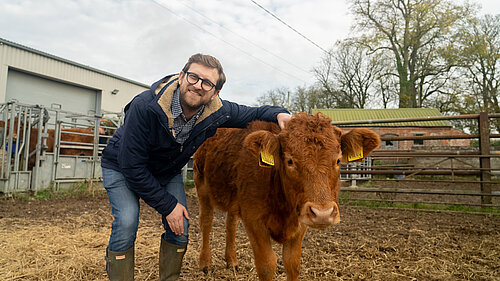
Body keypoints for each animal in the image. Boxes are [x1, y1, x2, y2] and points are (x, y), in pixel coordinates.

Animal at [193, 112, 380, 278]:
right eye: (290, 160)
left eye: (338, 160)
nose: (322, 214)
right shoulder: (254, 220)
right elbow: (267, 265)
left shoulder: (300, 221)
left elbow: (292, 263)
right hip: (201, 186)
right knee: (206, 222)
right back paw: (205, 263)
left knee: (230, 224)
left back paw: (231, 261)